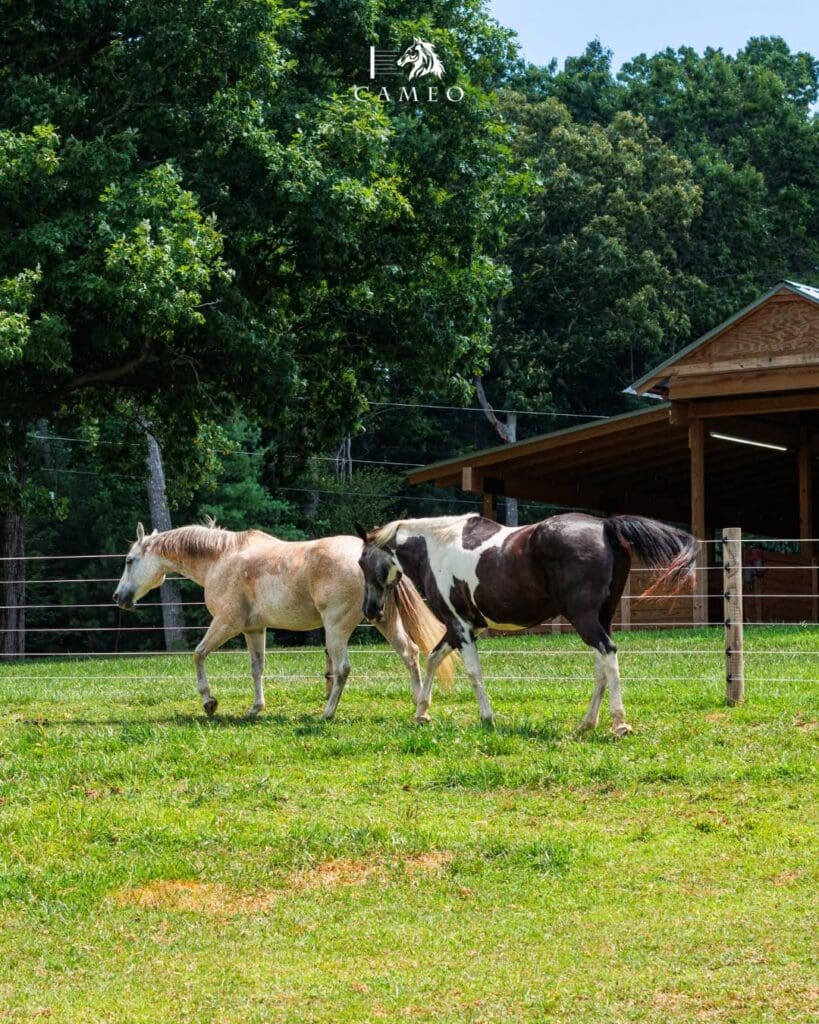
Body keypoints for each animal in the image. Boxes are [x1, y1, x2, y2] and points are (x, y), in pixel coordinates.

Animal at [113, 521, 453, 720]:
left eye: (129, 561)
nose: (118, 597)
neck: (222, 558)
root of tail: (375, 557)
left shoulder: (225, 623)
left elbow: (198, 654)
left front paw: (209, 702)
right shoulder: (253, 629)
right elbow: (257, 669)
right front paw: (255, 709)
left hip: (336, 628)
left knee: (343, 669)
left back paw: (327, 713)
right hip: (382, 619)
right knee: (409, 653)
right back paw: (419, 706)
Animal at [356, 512, 697, 735]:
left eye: (361, 561)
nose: (370, 610)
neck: (437, 545)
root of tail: (604, 525)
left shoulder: (461, 627)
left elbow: (473, 672)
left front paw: (487, 719)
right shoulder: (458, 629)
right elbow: (433, 660)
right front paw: (421, 714)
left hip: (584, 618)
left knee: (608, 654)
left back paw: (619, 723)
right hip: (602, 617)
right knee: (602, 664)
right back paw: (586, 724)